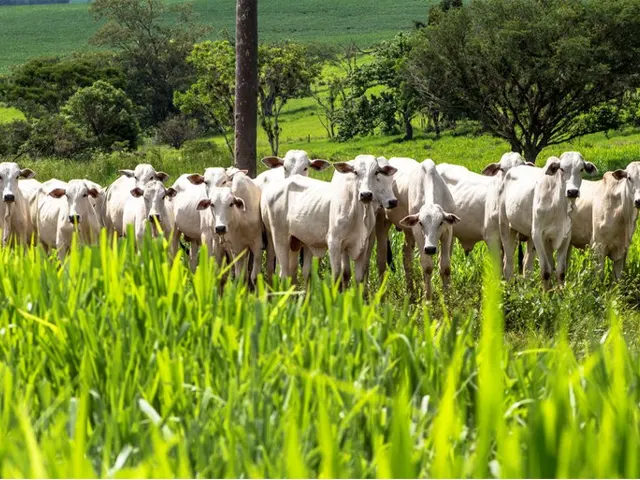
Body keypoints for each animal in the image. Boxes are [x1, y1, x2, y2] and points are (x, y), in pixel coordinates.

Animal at [262, 156, 398, 286]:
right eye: (355, 172)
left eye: (376, 172)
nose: (366, 194)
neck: (357, 213)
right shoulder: (334, 244)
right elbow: (337, 275)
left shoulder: (362, 246)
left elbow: (359, 277)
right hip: (280, 238)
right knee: (283, 274)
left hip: (298, 241)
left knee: (299, 272)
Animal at [500, 153, 596, 288]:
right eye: (562, 169)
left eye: (581, 169)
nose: (572, 192)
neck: (558, 205)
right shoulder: (538, 235)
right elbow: (546, 271)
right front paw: (546, 293)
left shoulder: (565, 237)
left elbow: (560, 271)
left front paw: (559, 292)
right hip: (507, 229)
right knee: (508, 263)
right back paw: (510, 287)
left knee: (526, 264)